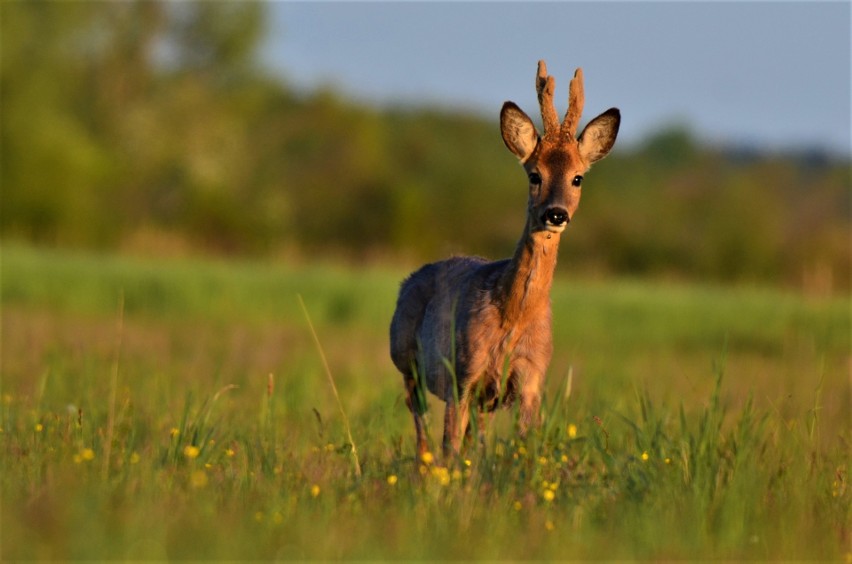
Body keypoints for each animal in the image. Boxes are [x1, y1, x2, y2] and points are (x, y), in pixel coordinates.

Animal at [392, 60, 620, 458]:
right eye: (535, 174)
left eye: (578, 178)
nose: (555, 213)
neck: (513, 316)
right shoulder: (463, 372)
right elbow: (450, 446)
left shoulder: (531, 378)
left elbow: (523, 448)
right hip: (406, 360)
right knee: (421, 426)